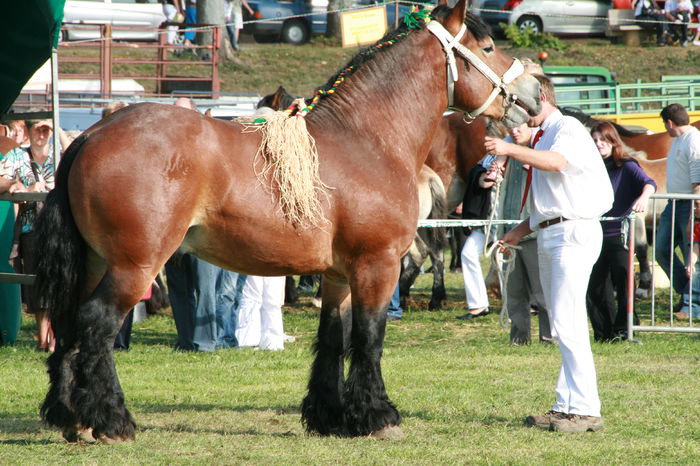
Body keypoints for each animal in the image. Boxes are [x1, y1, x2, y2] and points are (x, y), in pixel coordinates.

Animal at [32, 0, 540, 444]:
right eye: (488, 47)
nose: (536, 93)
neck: (366, 139)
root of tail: (91, 135)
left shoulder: (339, 274)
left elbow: (333, 339)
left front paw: (331, 416)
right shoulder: (376, 266)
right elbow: (370, 338)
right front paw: (378, 416)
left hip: (96, 263)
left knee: (70, 324)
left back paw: (70, 417)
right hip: (134, 266)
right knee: (97, 325)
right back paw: (111, 420)